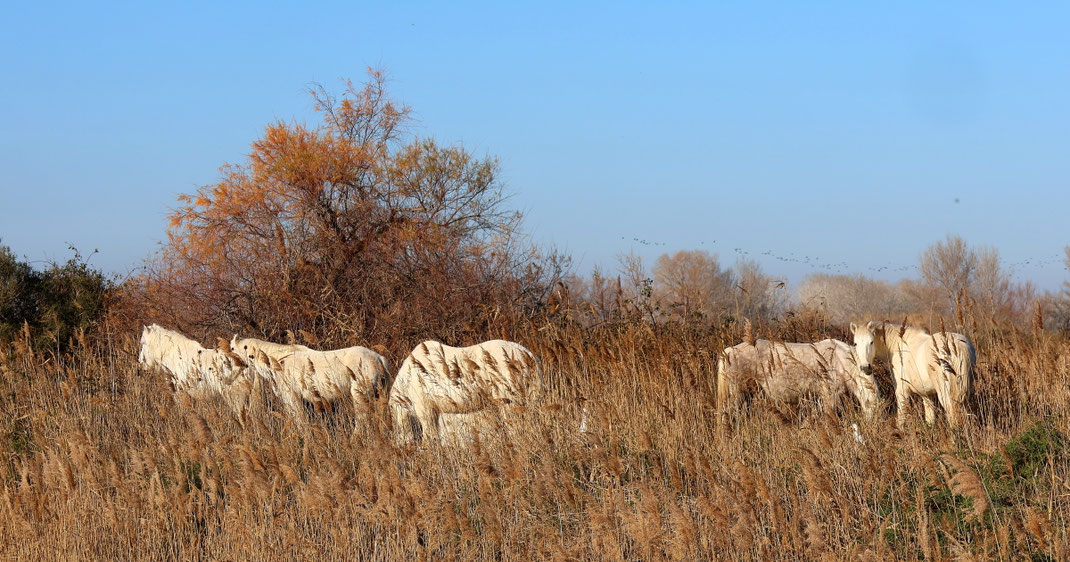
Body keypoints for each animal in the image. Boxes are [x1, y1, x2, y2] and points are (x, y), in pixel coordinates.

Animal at [716, 338, 879, 424]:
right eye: (870, 404)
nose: (872, 426)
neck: (840, 360)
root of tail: (728, 352)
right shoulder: (830, 395)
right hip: (736, 395)